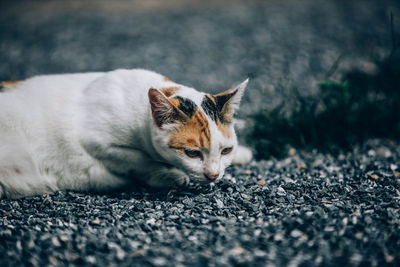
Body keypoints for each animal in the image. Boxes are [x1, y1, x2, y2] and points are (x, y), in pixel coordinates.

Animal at [0, 69, 250, 199]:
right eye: (192, 153)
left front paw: (243, 154)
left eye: (226, 150)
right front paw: (168, 175)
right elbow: (138, 159)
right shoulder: (96, 141)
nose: (213, 175)